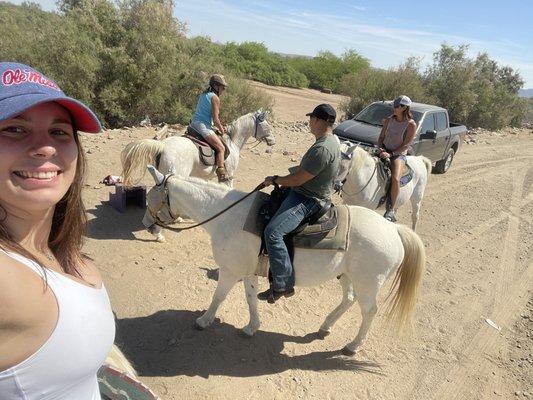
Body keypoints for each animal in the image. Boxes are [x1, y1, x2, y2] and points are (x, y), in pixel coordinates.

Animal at [141, 167, 424, 354]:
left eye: (149, 198)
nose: (146, 224)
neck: (228, 215)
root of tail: (393, 230)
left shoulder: (230, 271)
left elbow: (218, 297)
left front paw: (203, 321)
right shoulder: (248, 272)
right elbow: (250, 299)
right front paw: (251, 328)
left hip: (369, 284)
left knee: (369, 312)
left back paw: (353, 346)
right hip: (346, 276)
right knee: (348, 300)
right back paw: (325, 327)